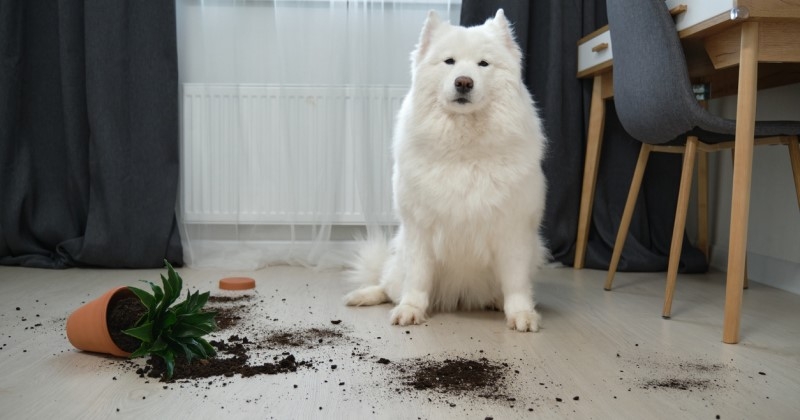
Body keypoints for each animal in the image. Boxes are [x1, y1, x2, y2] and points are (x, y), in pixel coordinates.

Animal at [340, 8, 548, 334]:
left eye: (483, 64)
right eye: (449, 61)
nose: (464, 82)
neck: (463, 149)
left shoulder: (513, 231)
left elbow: (516, 283)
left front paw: (522, 314)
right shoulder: (420, 229)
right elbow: (417, 279)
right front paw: (411, 310)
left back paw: (495, 302)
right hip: (399, 256)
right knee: (388, 286)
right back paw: (363, 296)